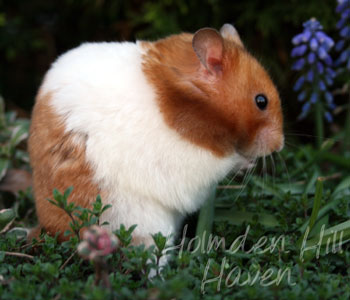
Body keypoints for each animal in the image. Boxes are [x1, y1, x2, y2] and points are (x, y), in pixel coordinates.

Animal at [28, 24, 284, 245]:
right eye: (261, 101)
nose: (279, 145)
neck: (191, 103)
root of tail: (51, 229)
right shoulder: (189, 162)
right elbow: (225, 163)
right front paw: (246, 162)